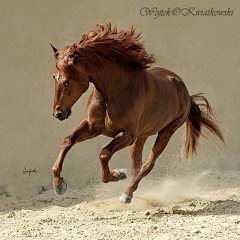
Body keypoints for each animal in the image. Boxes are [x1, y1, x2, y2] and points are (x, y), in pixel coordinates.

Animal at [49, 22, 224, 202]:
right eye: (54, 77)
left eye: (67, 82)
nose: (58, 113)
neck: (114, 91)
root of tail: (185, 92)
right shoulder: (92, 127)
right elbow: (67, 141)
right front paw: (59, 185)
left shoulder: (127, 134)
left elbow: (104, 154)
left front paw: (117, 174)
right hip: (142, 136)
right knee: (137, 164)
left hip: (166, 131)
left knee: (148, 164)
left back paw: (127, 194)